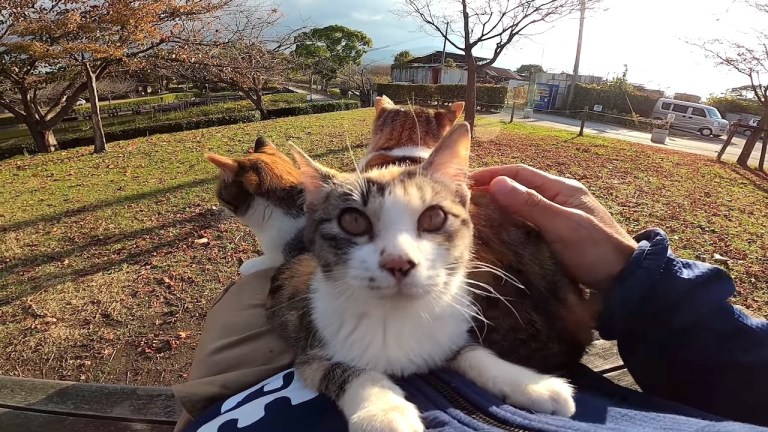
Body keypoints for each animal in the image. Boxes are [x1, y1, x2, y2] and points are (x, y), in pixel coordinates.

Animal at [270, 122, 576, 432]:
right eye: (352, 221)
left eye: (433, 217)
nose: (398, 262)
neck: (397, 314)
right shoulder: (311, 346)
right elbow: (343, 370)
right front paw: (384, 412)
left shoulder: (446, 331)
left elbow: (471, 352)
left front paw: (532, 384)